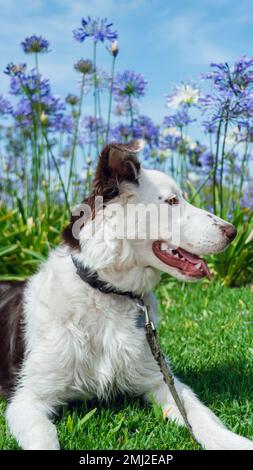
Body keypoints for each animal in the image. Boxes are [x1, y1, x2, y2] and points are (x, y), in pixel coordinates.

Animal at [0, 141, 253, 450]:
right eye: (172, 201)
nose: (233, 231)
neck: (106, 291)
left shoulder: (161, 379)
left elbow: (204, 418)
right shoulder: (26, 398)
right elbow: (44, 437)